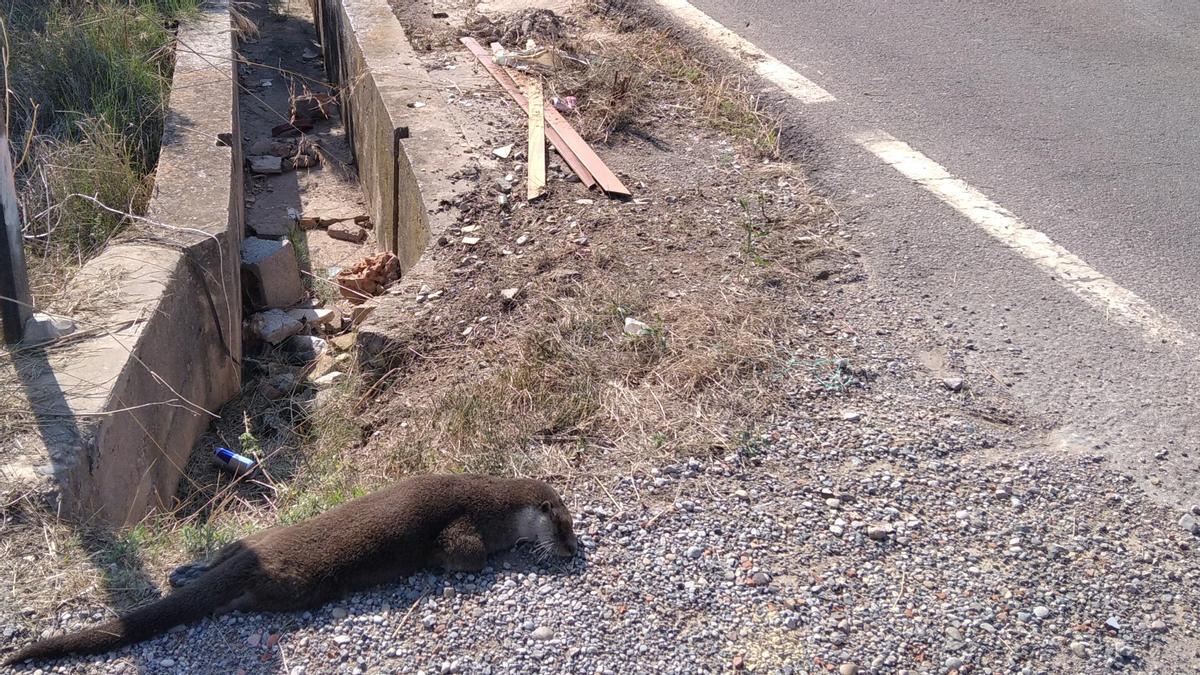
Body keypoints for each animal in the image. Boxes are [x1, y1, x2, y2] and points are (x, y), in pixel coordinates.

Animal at [4, 473, 576, 662]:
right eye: (565, 529)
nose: (572, 551)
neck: (492, 503)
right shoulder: (465, 526)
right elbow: (466, 556)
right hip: (292, 582)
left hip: (253, 541)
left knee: (226, 552)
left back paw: (187, 571)